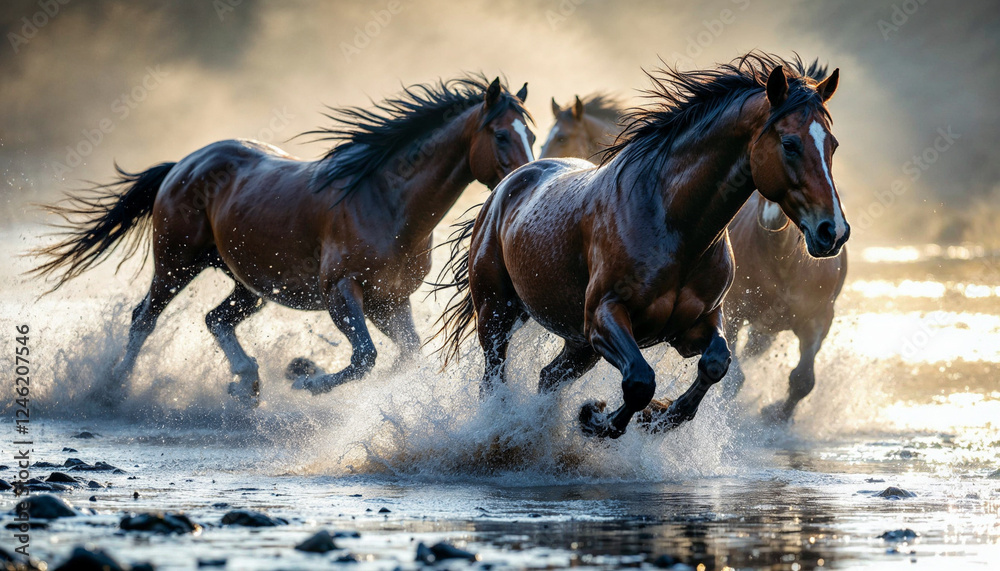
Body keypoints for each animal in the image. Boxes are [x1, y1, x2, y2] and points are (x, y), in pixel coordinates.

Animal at [32, 75, 535, 408]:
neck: (388, 203)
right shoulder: (342, 292)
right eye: (500, 133)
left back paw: (247, 384)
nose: (527, 176)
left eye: (530, 131)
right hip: (177, 263)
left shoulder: (389, 301)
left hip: (250, 285)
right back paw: (112, 388)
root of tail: (184, 164)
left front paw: (305, 375)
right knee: (143, 318)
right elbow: (366, 356)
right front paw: (305, 380)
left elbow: (406, 358)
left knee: (215, 319)